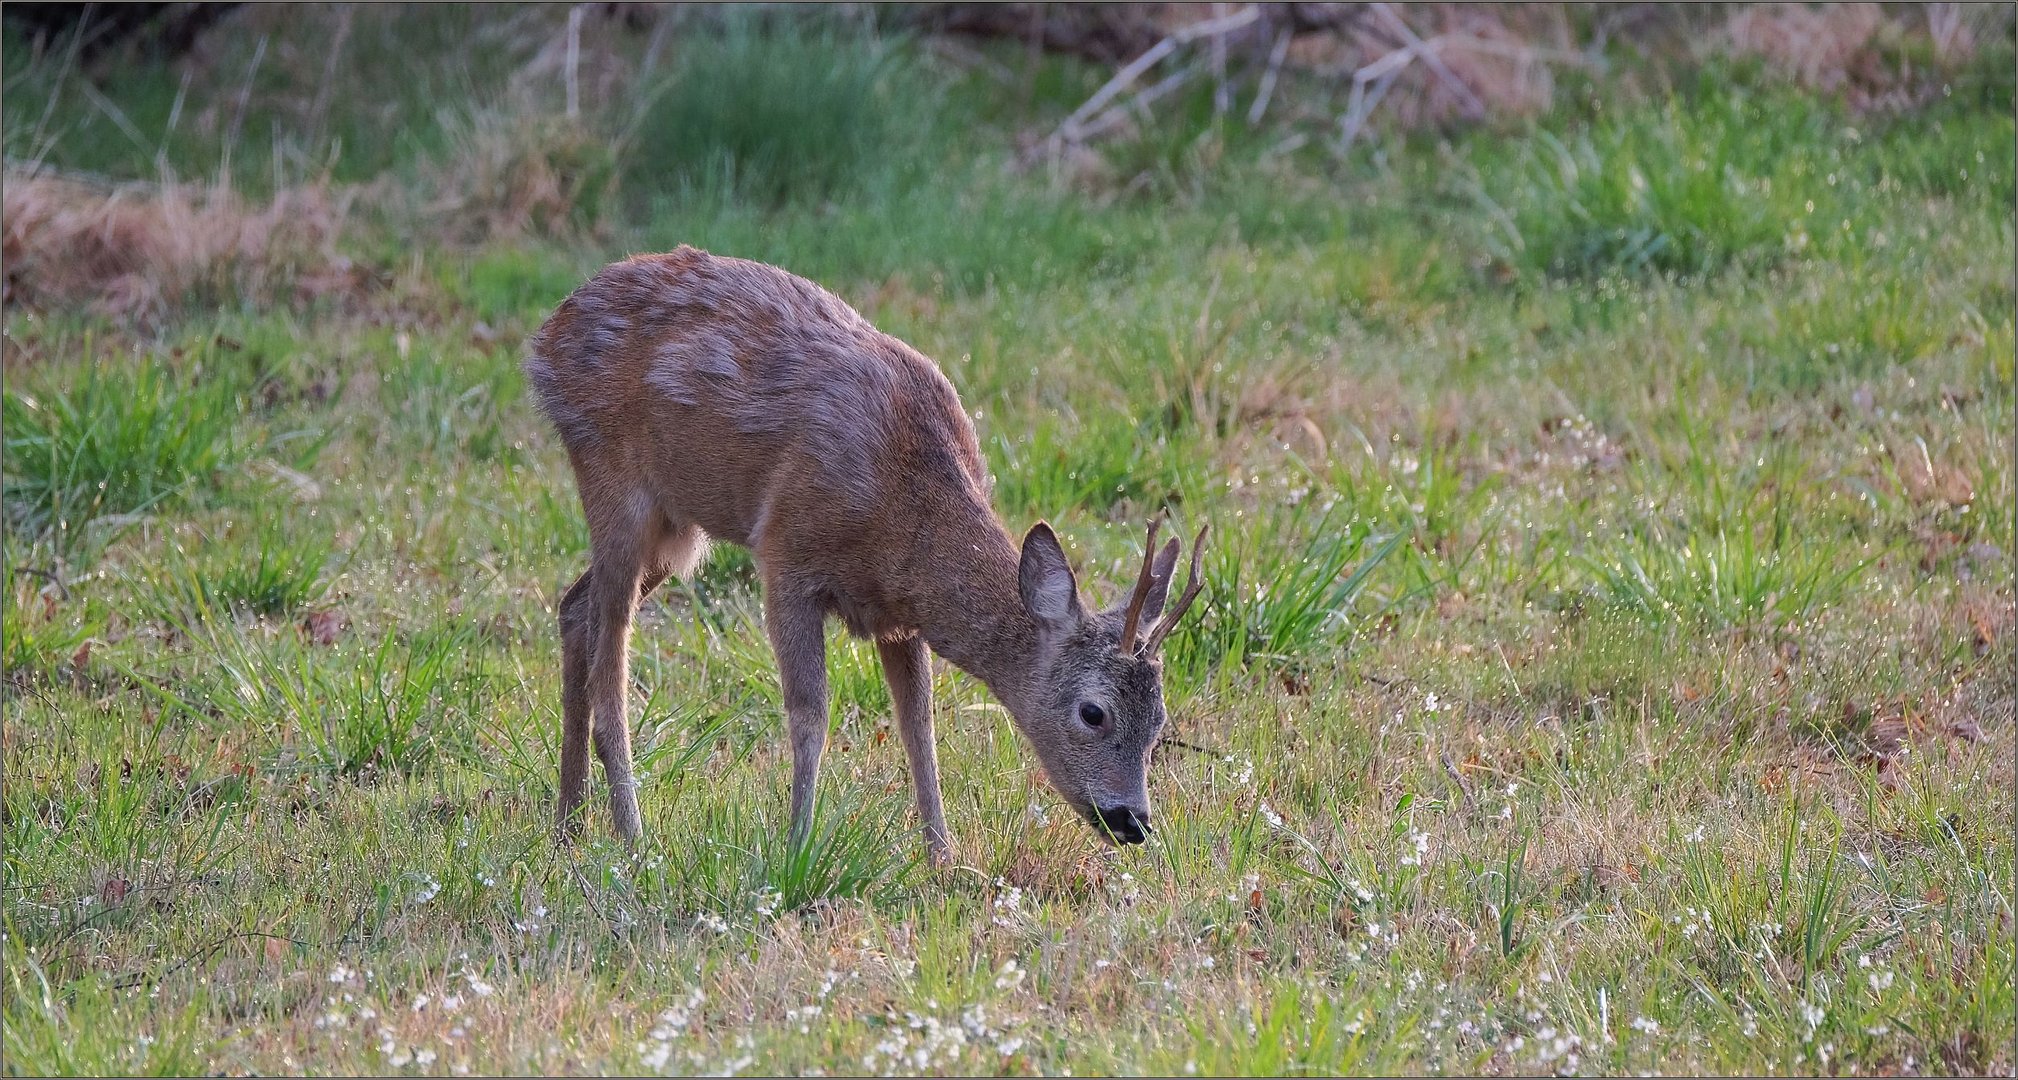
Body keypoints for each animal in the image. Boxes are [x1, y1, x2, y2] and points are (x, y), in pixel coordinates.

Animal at [528, 245, 1202, 864]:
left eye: (1159, 721)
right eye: (1093, 712)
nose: (1134, 821)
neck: (902, 518)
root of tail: (545, 339)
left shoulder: (898, 616)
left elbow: (919, 726)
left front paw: (943, 858)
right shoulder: (787, 556)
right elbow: (810, 713)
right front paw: (796, 847)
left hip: (675, 530)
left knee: (575, 608)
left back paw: (567, 827)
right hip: (615, 479)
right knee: (609, 664)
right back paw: (631, 836)